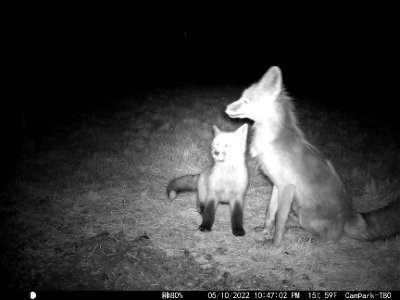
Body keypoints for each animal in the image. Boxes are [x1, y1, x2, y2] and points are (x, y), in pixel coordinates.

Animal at [225, 65, 400, 246]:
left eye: (247, 100)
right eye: (242, 97)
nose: (226, 108)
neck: (271, 140)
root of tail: (347, 218)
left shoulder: (287, 188)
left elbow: (280, 221)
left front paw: (274, 244)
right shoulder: (276, 185)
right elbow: (270, 213)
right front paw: (264, 231)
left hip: (305, 213)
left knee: (327, 239)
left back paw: (303, 237)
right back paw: (293, 230)